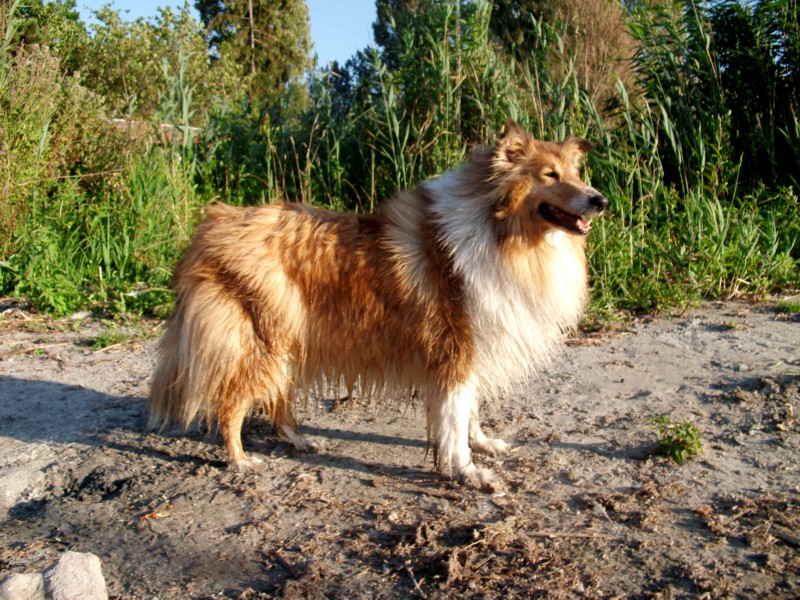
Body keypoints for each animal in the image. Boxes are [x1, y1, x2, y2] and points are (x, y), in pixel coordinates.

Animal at [148, 121, 608, 488]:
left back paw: (300, 439)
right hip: (264, 342)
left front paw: (482, 444)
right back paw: (241, 461)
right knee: (230, 403)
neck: (499, 231)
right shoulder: (455, 349)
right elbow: (455, 419)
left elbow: (469, 412)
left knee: (277, 400)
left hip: (290, 342)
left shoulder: (474, 348)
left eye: (575, 173)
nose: (600, 200)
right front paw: (469, 472)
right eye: (550, 175)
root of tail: (212, 225)